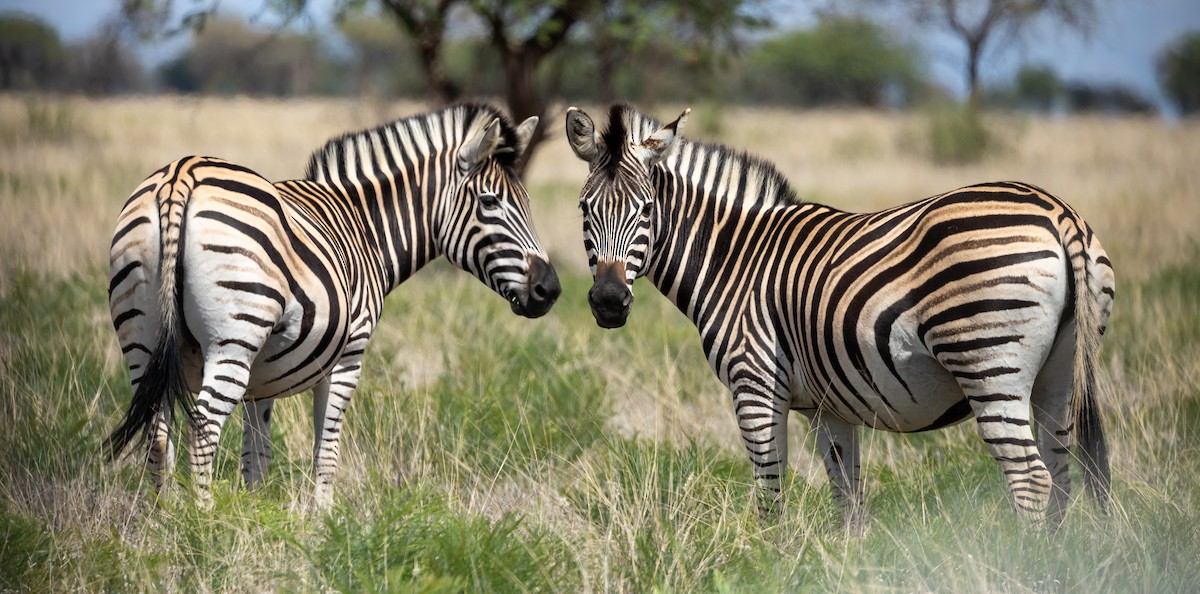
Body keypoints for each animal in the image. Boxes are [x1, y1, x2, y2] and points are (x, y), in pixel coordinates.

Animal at [107, 103, 561, 509]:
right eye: (490, 202)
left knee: (157, 433)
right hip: (233, 339)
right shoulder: (349, 356)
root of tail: (181, 175)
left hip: (142, 341)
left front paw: (253, 516)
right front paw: (324, 525)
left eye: (527, 202)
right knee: (202, 429)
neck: (366, 228)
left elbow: (257, 455)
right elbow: (325, 453)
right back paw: (204, 524)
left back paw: (164, 521)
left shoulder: (261, 379)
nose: (550, 290)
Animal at [564, 104, 1114, 530]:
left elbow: (770, 495)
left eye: (646, 209)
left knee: (1031, 479)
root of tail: (1058, 212)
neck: (735, 257)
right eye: (584, 209)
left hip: (989, 362)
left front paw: (771, 564)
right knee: (1061, 475)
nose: (608, 302)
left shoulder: (755, 383)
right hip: (1059, 374)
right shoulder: (829, 407)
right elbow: (848, 499)